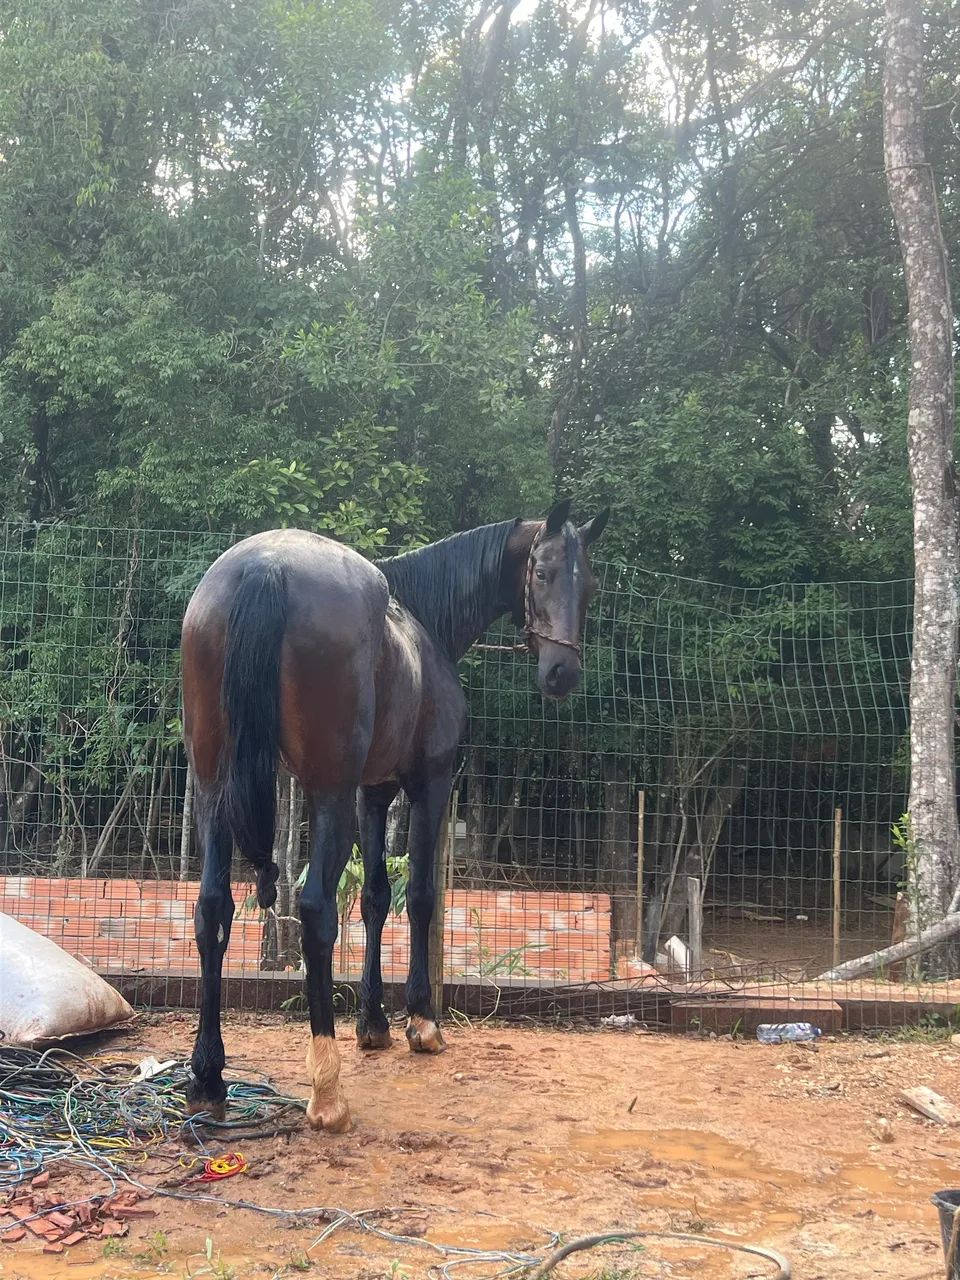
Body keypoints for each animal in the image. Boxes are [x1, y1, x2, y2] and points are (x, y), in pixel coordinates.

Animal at [180, 499, 608, 1132]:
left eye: (590, 585)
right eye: (541, 572)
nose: (563, 673)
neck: (423, 624)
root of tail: (268, 566)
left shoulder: (373, 792)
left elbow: (377, 898)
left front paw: (374, 1024)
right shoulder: (428, 784)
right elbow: (422, 897)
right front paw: (421, 1022)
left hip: (215, 788)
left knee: (213, 908)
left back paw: (208, 1077)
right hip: (325, 793)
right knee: (314, 910)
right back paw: (327, 1091)